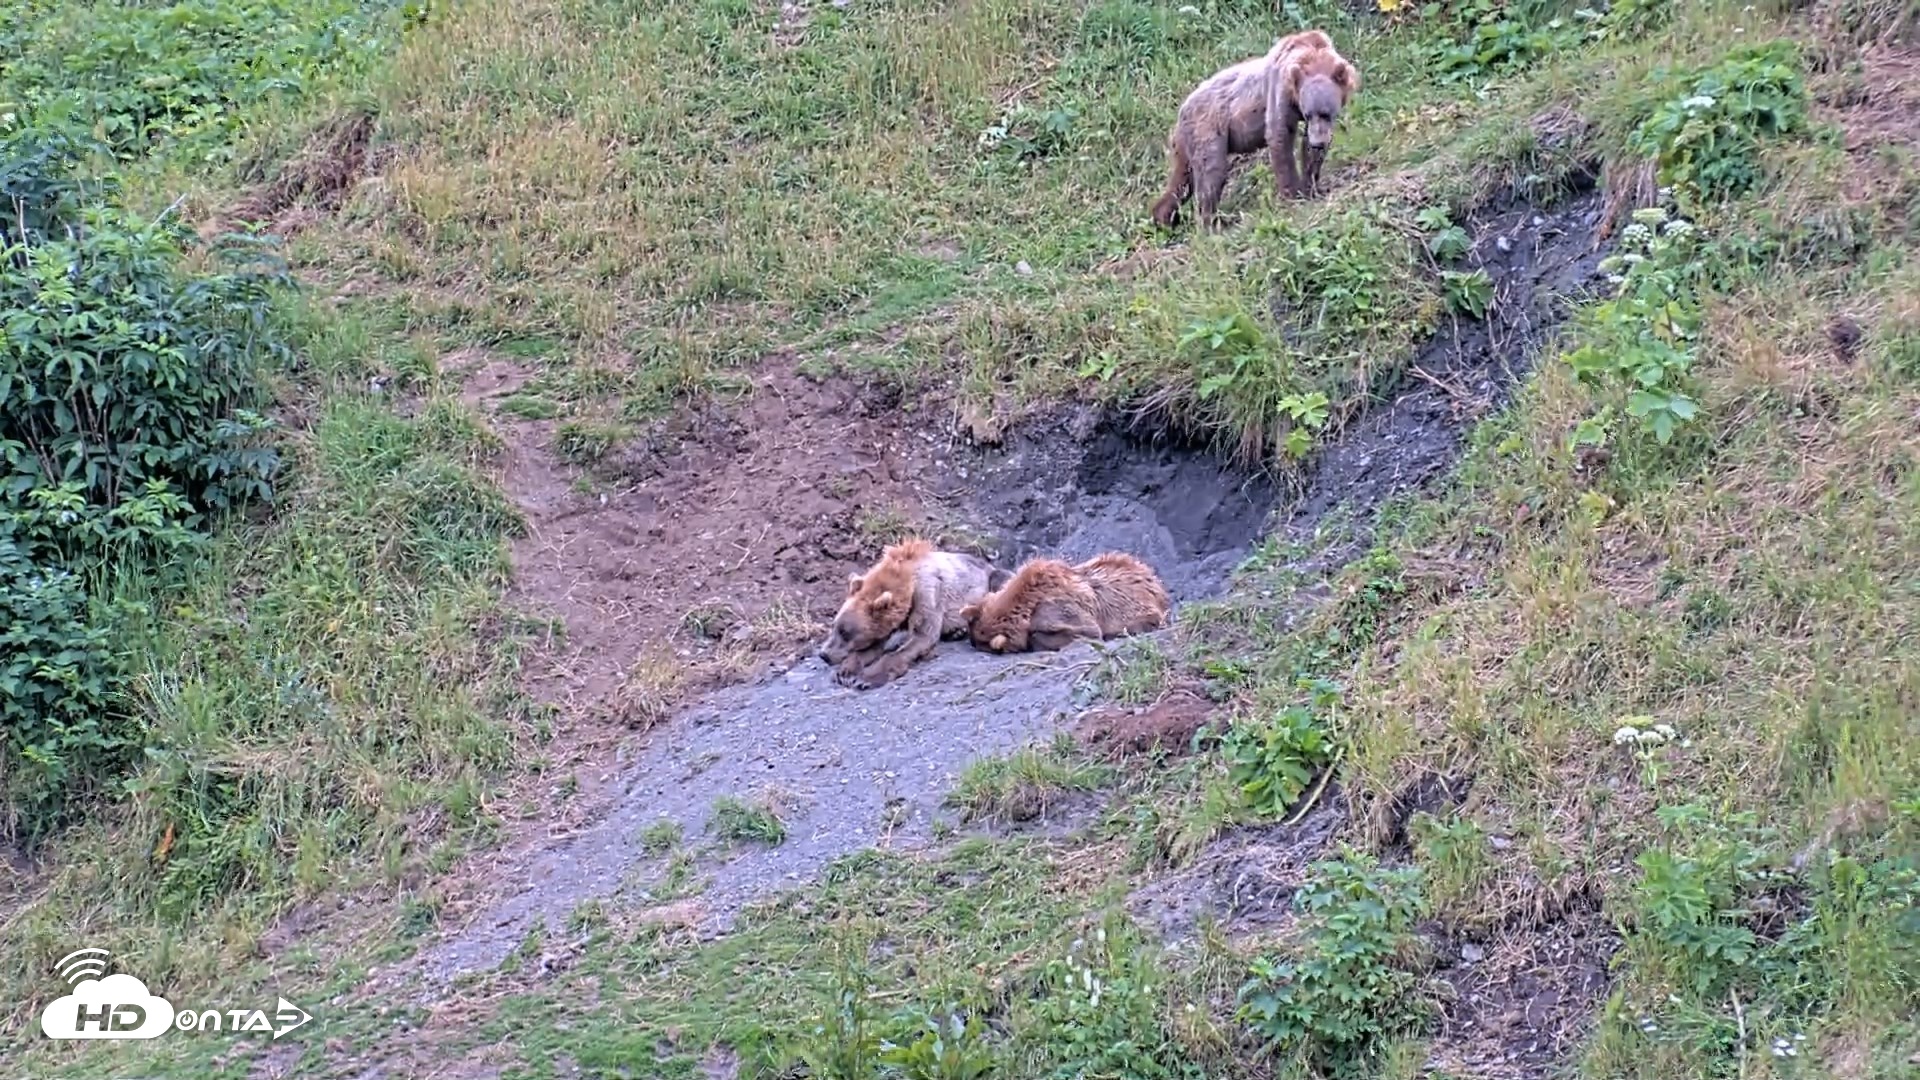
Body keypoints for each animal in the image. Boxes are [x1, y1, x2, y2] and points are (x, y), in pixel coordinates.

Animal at [816, 537, 1006, 690]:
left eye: (846, 633)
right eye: (834, 626)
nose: (824, 655)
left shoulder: (927, 592)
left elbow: (921, 636)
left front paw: (865, 678)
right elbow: (872, 647)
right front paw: (845, 671)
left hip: (989, 579)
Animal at [1149, 29, 1360, 230]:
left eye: (1325, 114)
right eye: (1309, 113)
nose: (1318, 143)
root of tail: (1181, 111)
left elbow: (1308, 149)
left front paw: (1313, 186)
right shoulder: (1280, 91)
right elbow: (1279, 135)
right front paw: (1293, 193)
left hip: (1186, 144)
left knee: (1182, 180)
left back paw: (1165, 218)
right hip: (1207, 130)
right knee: (1211, 173)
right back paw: (1210, 223)